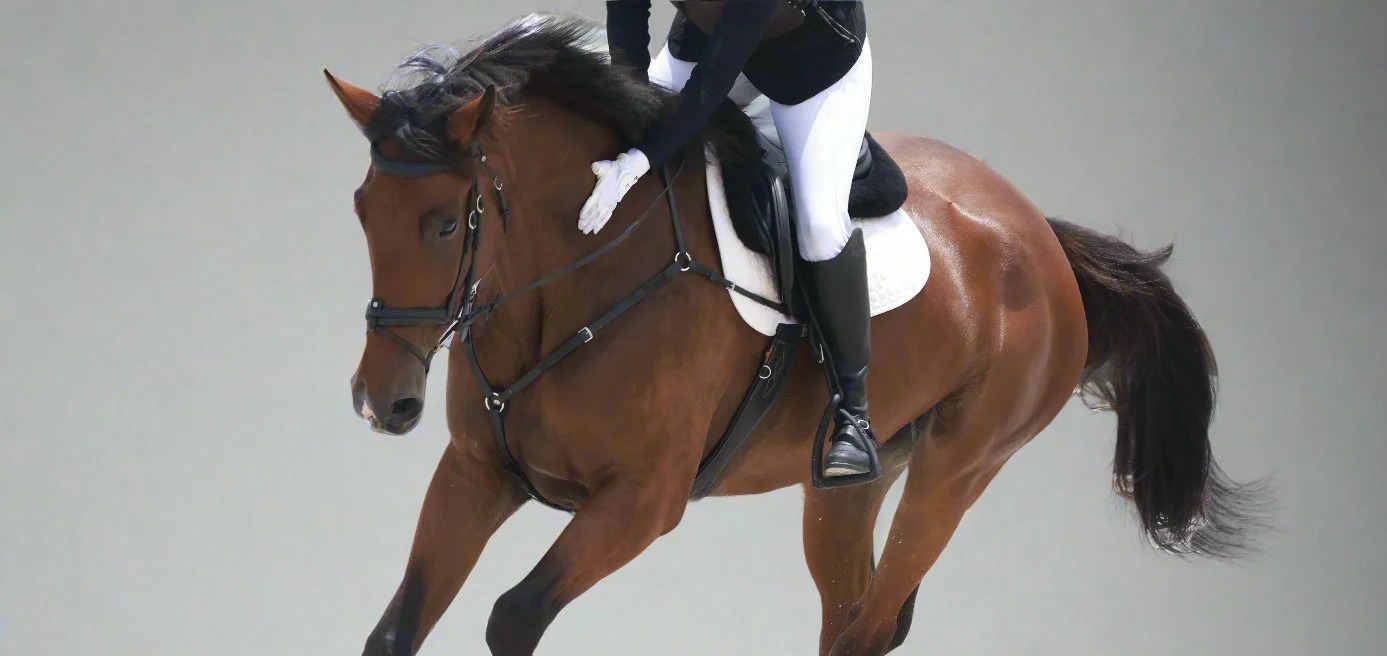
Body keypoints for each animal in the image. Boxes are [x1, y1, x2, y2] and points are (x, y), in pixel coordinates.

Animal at [324, 14, 1265, 656]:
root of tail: (1040, 234)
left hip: (958, 470)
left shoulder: (640, 502)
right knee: (849, 615)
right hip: (846, 491)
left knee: (870, 623)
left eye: (446, 225)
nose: (382, 404)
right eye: (362, 209)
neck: (569, 285)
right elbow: (394, 630)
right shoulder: (474, 472)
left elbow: (513, 617)